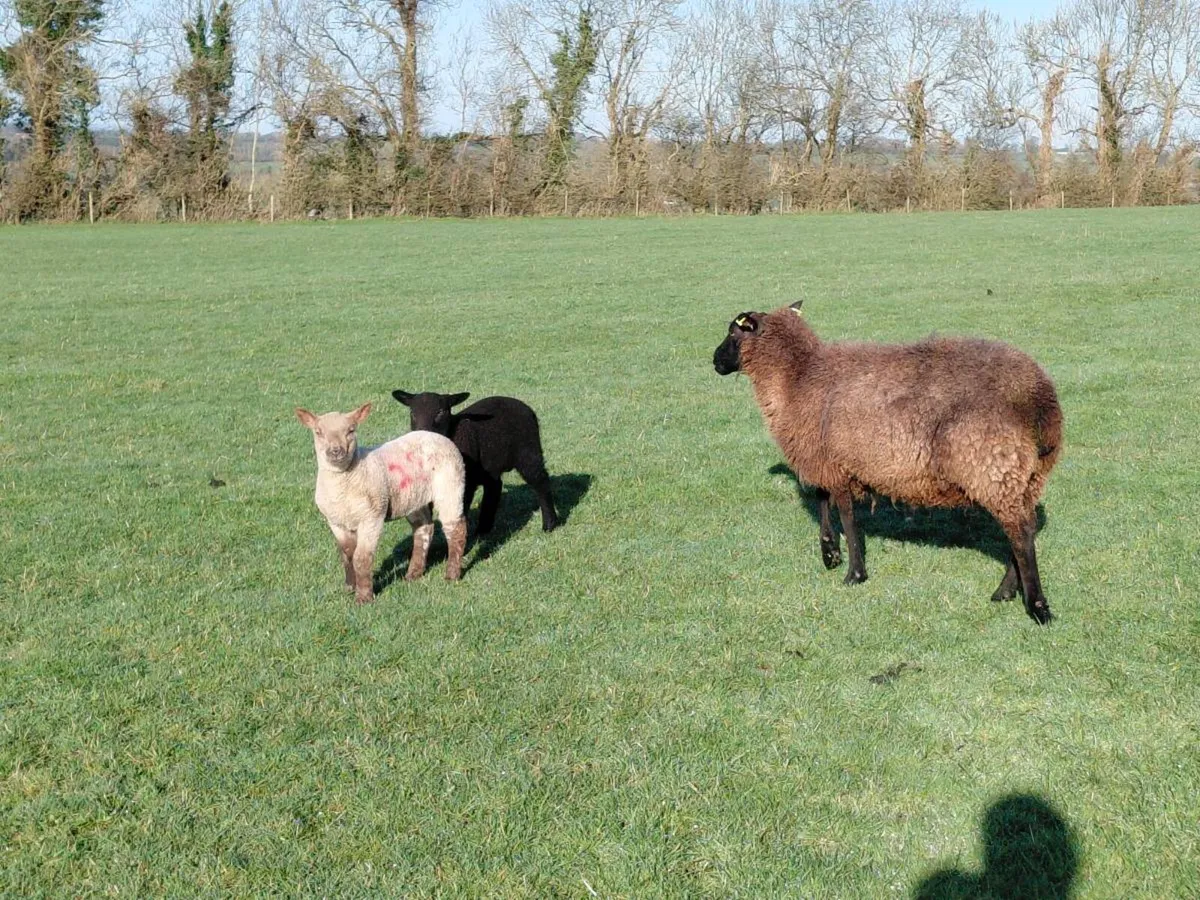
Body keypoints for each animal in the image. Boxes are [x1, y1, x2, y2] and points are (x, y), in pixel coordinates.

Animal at [295, 403, 467, 603]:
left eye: (351, 430)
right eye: (318, 432)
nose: (336, 451)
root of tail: (439, 437)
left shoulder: (372, 517)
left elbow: (361, 558)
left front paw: (363, 597)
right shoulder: (335, 521)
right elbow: (347, 554)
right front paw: (350, 587)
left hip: (451, 484)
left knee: (456, 529)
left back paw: (452, 574)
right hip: (414, 497)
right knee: (424, 528)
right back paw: (413, 573)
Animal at [391, 390, 559, 535]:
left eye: (440, 412)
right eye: (412, 413)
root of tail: (526, 408)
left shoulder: (464, 485)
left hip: (528, 451)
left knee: (541, 481)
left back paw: (549, 524)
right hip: (491, 464)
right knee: (494, 487)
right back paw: (483, 529)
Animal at [712, 301, 1063, 624]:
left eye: (733, 332)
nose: (714, 361)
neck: (797, 376)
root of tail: (1040, 399)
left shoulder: (837, 462)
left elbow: (848, 519)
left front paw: (854, 573)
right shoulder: (825, 458)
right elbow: (822, 500)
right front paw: (830, 553)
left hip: (993, 465)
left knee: (1020, 533)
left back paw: (1037, 606)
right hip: (1027, 474)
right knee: (1023, 529)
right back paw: (1005, 591)